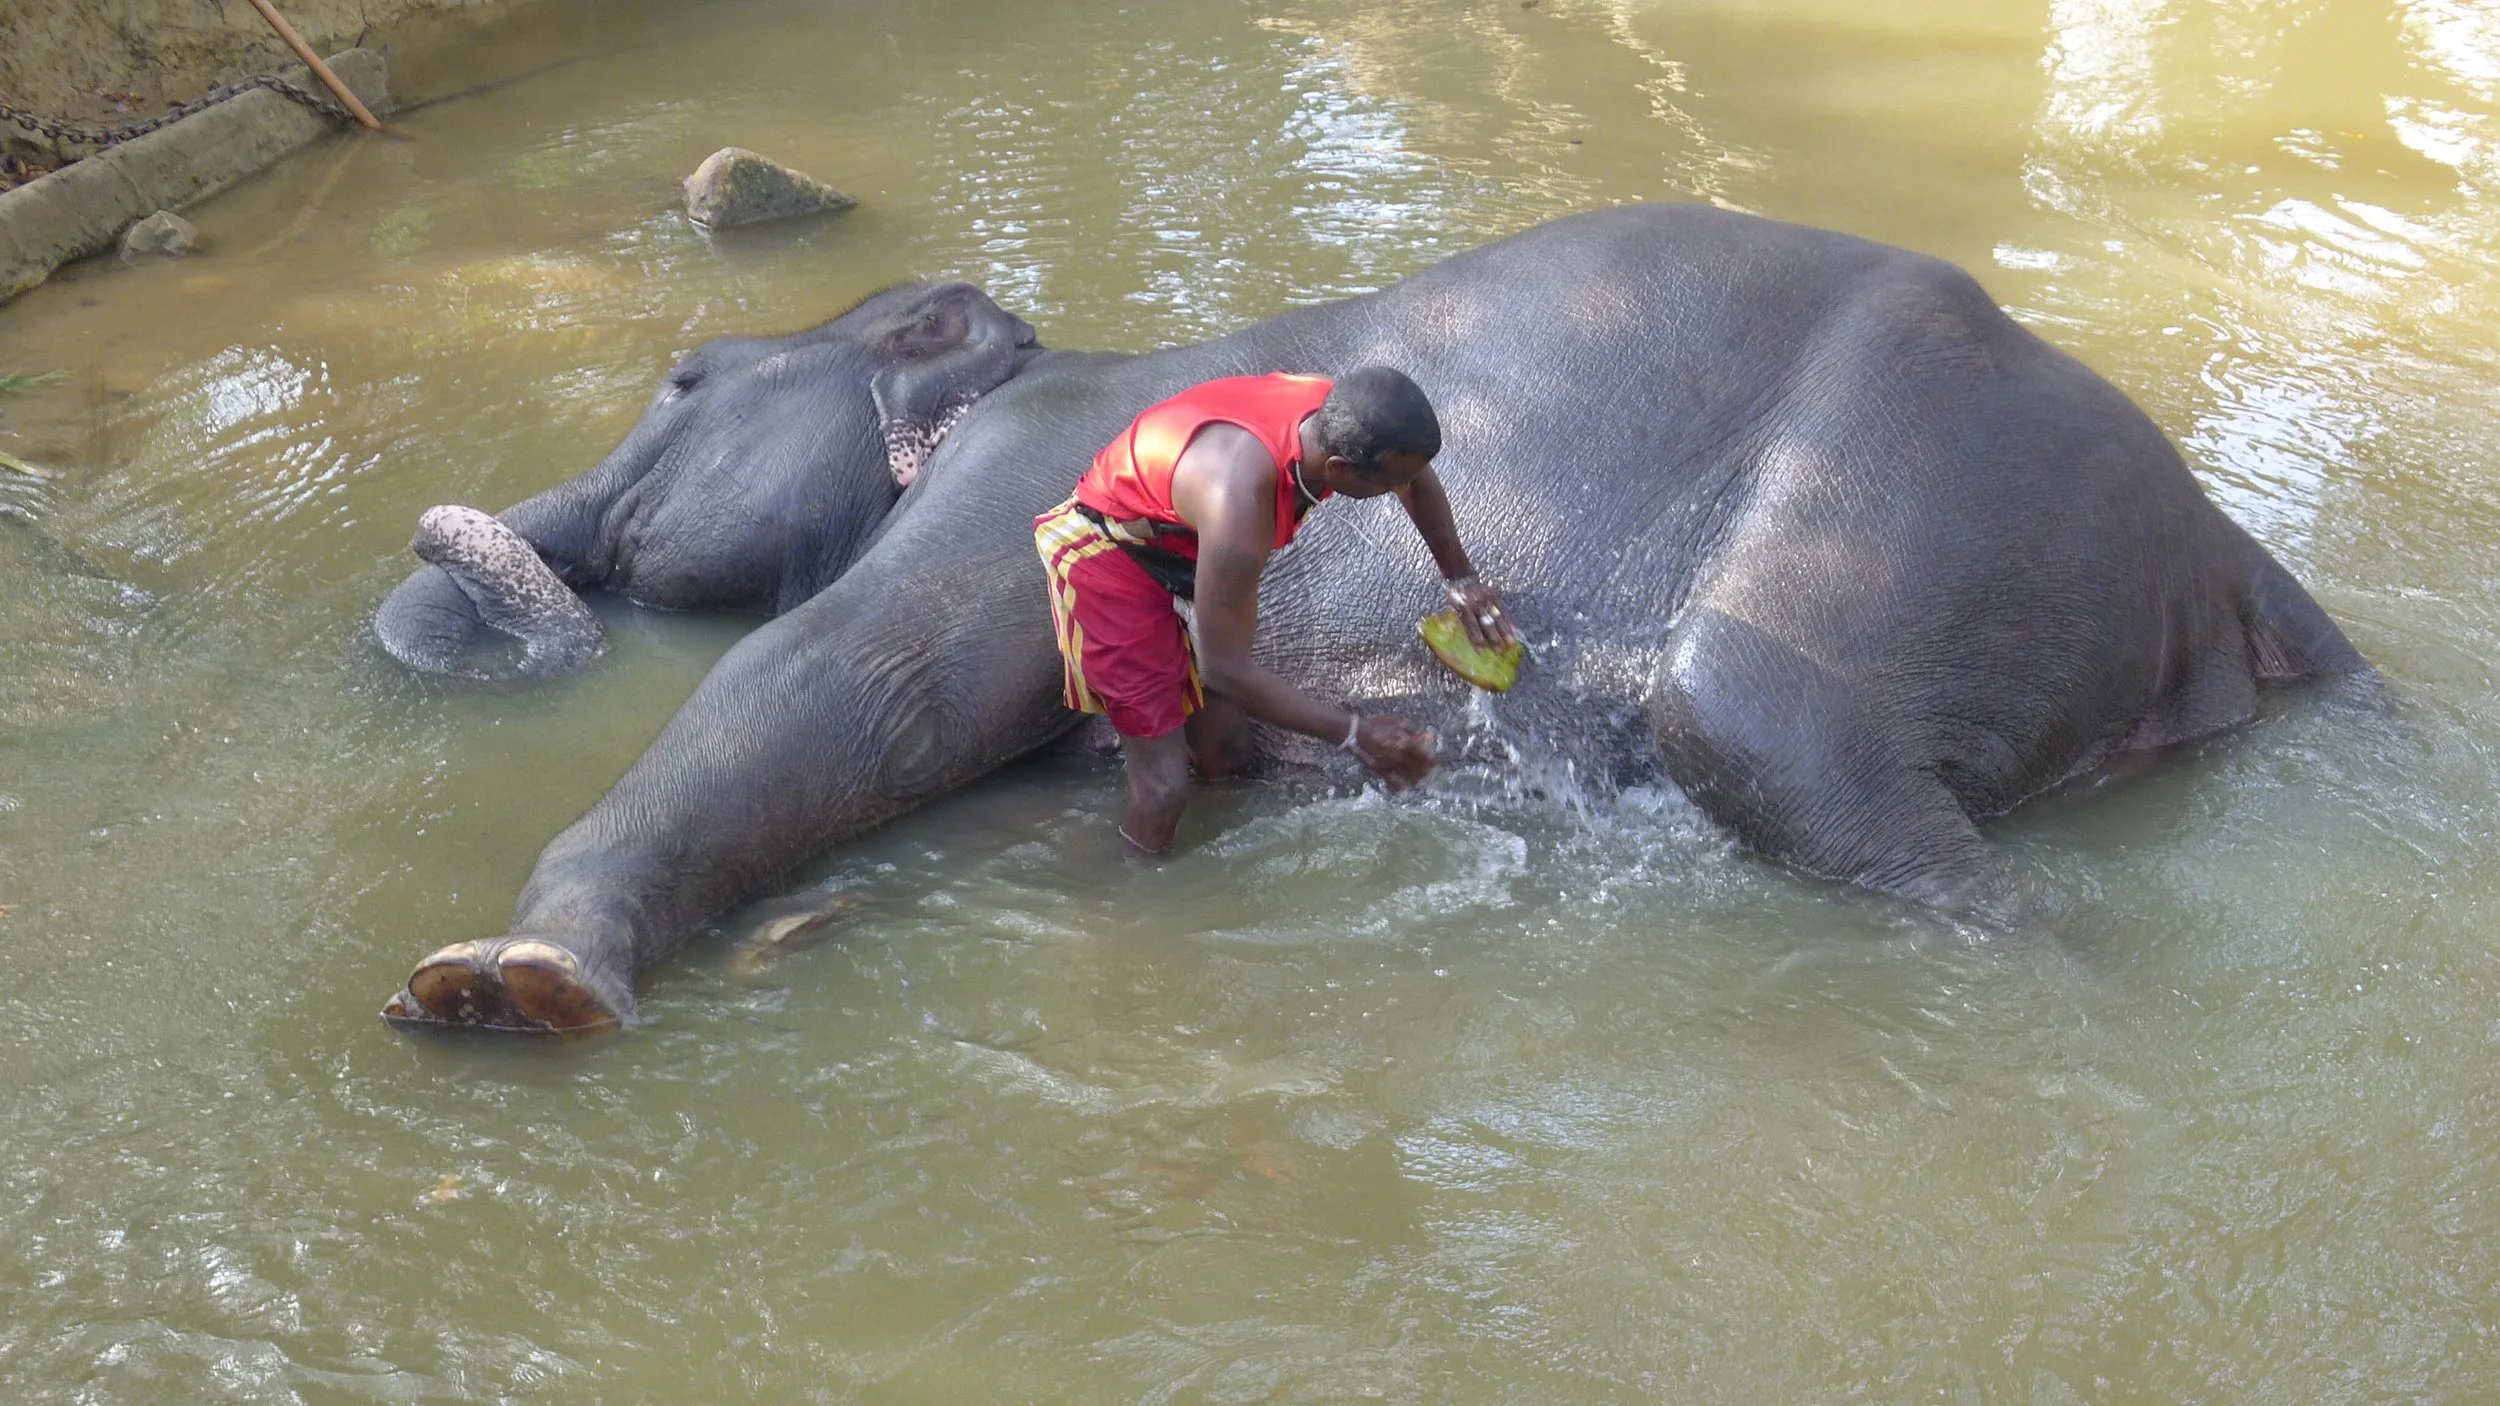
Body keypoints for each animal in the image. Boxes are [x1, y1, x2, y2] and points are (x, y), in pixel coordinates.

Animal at [374, 202, 2365, 1034]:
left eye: (681, 378)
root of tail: (2243, 568)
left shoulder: (990, 494)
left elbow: (837, 687)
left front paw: (503, 985)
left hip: (1932, 514)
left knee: (1764, 726)